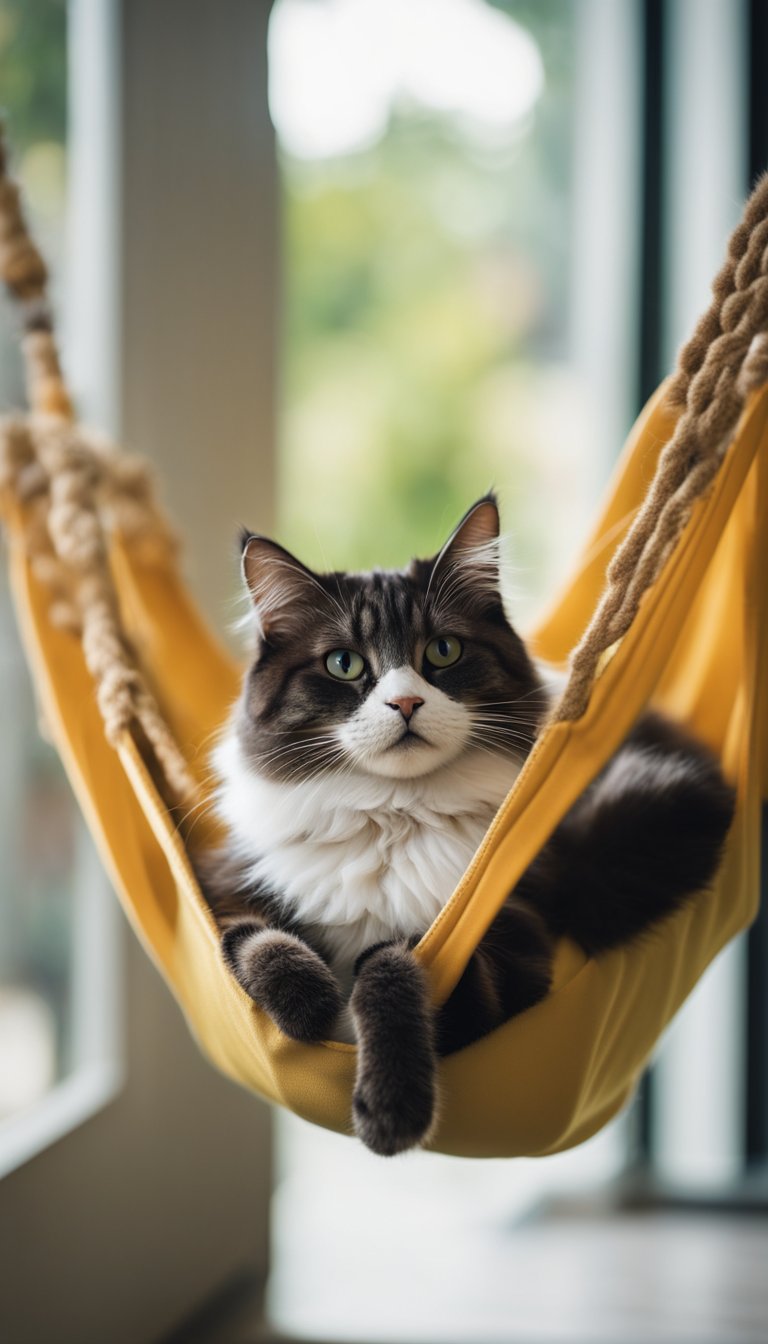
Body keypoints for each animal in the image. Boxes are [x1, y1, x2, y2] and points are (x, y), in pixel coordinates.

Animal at [201, 494, 737, 1155]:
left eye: (443, 652)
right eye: (344, 664)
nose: (406, 703)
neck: (395, 816)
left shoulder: (511, 951)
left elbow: (388, 964)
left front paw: (393, 1109)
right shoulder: (222, 890)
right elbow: (259, 941)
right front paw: (309, 1001)